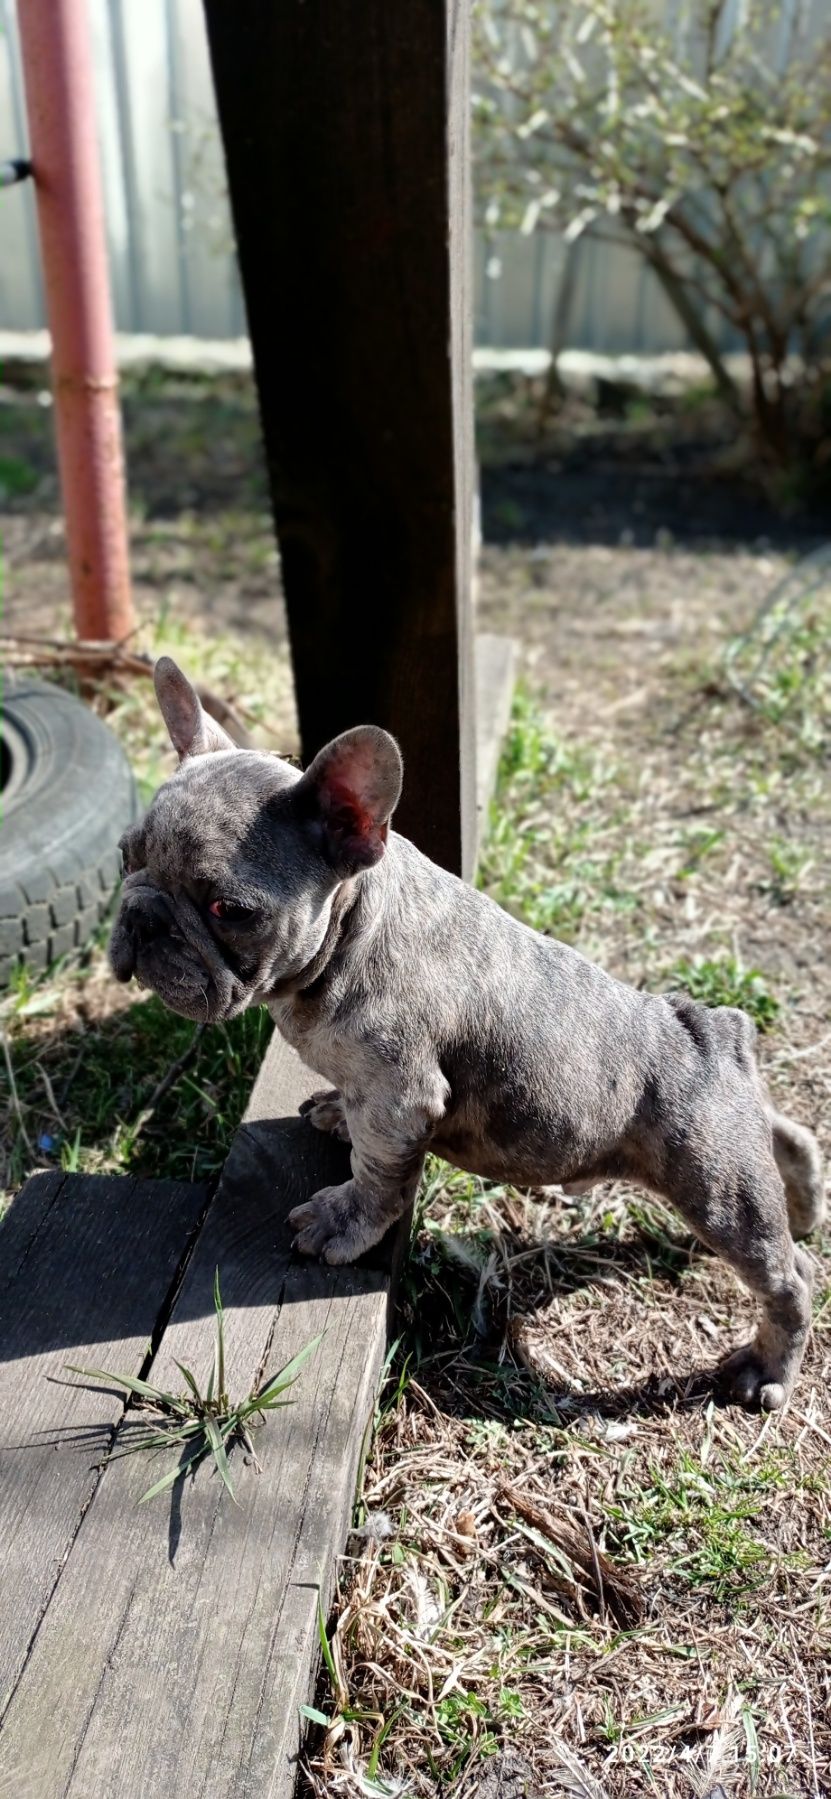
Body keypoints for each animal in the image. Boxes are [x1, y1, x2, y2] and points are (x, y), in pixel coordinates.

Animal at [110, 654, 823, 1410]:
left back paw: (766, 1368)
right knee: (789, 1135)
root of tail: (713, 1033)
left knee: (789, 1279)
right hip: (736, 1142)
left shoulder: (399, 1099)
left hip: (715, 1190)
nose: (143, 917)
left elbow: (377, 1178)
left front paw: (343, 1222)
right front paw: (334, 1111)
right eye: (126, 858)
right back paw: (807, 1201)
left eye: (228, 908)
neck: (348, 932)